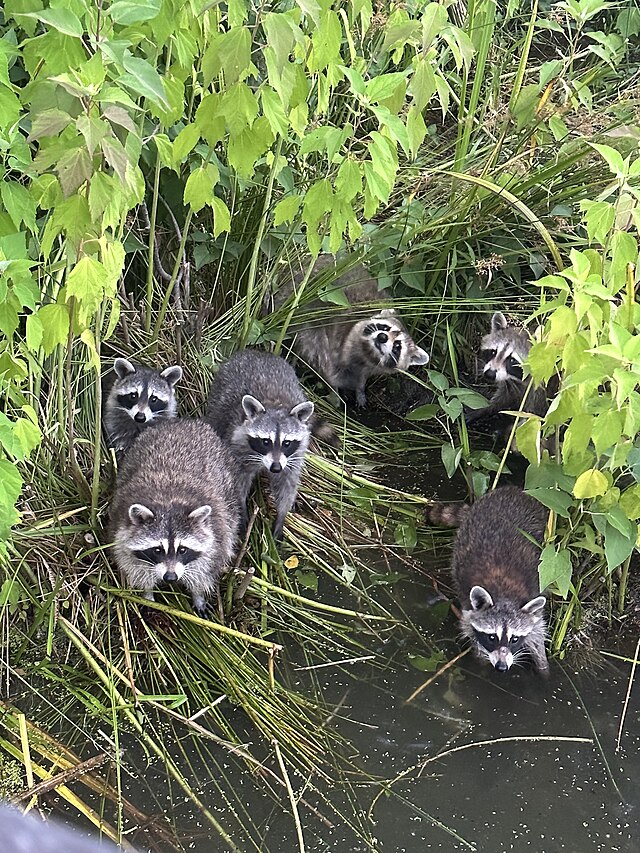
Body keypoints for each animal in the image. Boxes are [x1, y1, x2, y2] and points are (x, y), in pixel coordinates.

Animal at [109, 419, 241, 615]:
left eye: (183, 549)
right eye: (157, 550)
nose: (170, 577)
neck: (168, 502)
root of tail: (185, 422)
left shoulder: (217, 536)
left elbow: (205, 569)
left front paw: (198, 595)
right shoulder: (121, 531)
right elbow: (134, 567)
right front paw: (148, 593)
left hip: (230, 487)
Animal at [205, 350, 314, 540]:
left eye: (287, 443)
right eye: (265, 441)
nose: (275, 467)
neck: (275, 404)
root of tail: (258, 352)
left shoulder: (295, 454)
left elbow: (287, 484)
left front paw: (281, 515)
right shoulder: (237, 445)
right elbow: (237, 482)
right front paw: (242, 509)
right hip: (218, 397)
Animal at [270, 257, 429, 407]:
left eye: (397, 346)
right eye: (385, 327)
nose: (382, 337)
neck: (366, 355)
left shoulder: (370, 368)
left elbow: (361, 379)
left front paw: (360, 391)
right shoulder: (336, 337)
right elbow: (329, 372)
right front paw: (334, 393)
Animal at [448, 486, 549, 674]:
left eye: (514, 639)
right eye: (492, 637)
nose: (501, 667)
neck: (504, 594)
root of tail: (514, 489)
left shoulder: (536, 588)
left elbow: (537, 632)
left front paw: (543, 668)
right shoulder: (467, 603)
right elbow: (471, 631)